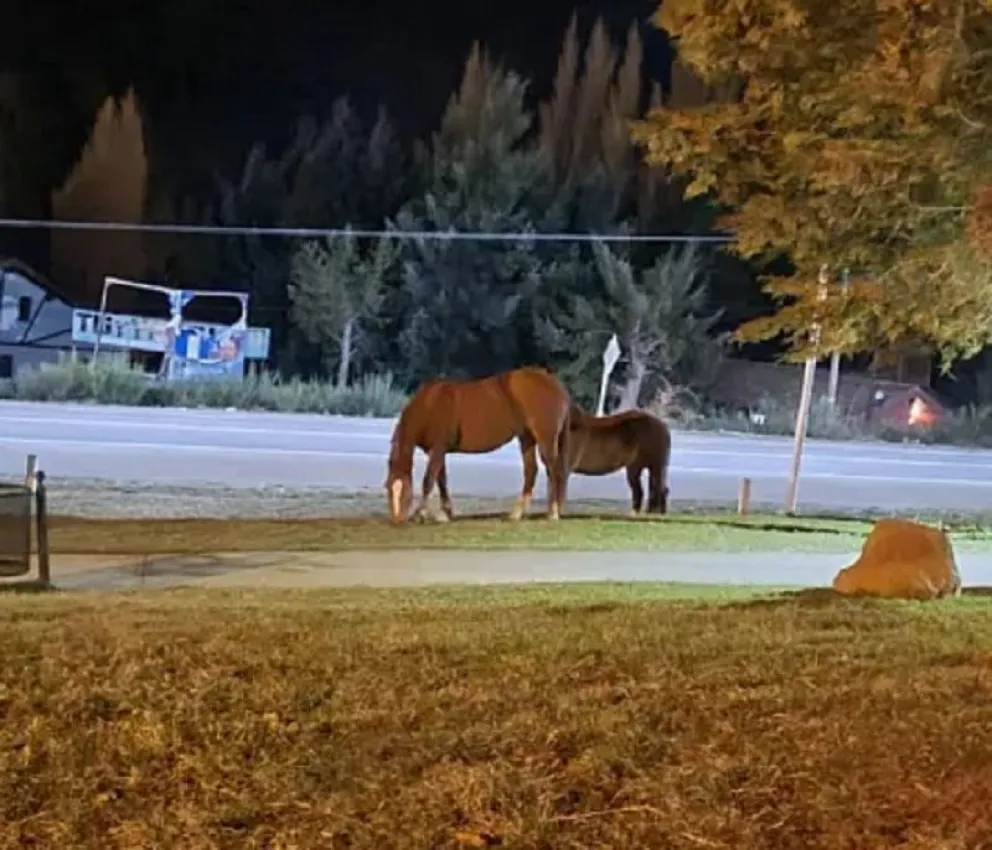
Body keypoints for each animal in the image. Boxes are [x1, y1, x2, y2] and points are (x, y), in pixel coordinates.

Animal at [384, 366, 572, 525]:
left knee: (553, 470)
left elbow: (428, 481)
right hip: (526, 438)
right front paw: (446, 513)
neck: (430, 405)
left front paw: (421, 514)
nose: (396, 520)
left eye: (405, 490)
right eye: (388, 488)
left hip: (545, 438)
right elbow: (441, 480)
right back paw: (517, 514)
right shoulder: (438, 451)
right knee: (531, 470)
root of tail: (553, 382)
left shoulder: (438, 448)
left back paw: (553, 513)